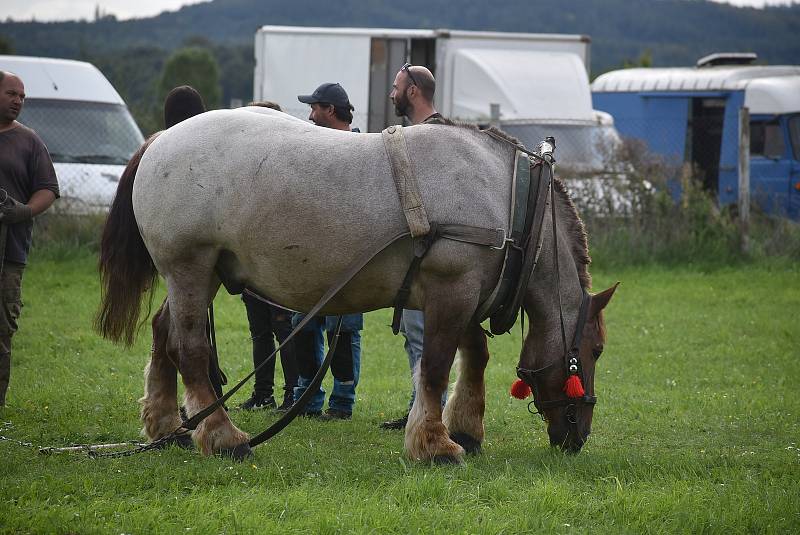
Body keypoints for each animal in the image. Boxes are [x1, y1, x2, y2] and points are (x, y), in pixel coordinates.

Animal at [95, 108, 620, 460]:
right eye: (593, 351)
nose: (579, 436)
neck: (507, 197)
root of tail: (160, 139)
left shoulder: (466, 291)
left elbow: (473, 357)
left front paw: (465, 430)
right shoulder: (451, 289)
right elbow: (434, 367)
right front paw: (434, 444)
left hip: (196, 277)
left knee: (164, 336)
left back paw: (167, 426)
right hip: (190, 267)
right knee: (190, 351)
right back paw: (225, 438)